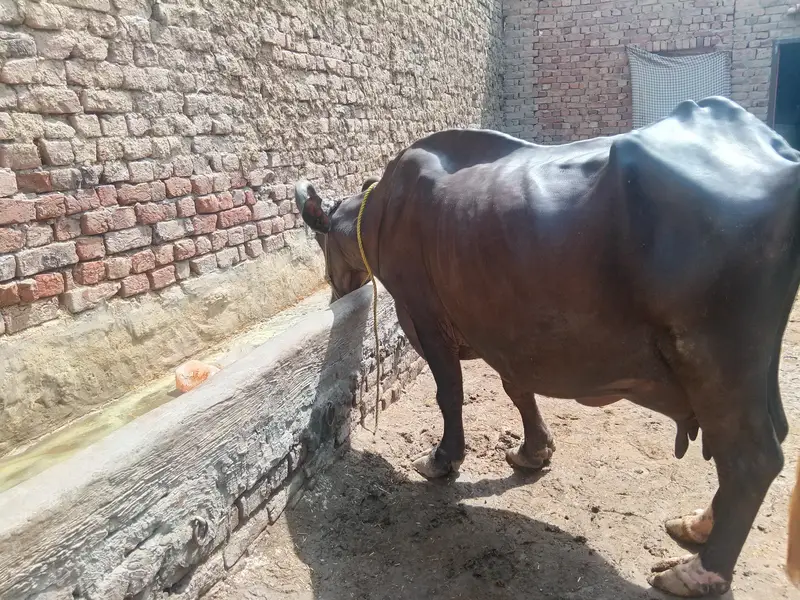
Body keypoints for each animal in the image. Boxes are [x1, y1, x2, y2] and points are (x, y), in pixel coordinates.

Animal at [294, 96, 800, 597]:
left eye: (321, 240)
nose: (335, 291)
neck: (383, 211)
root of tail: (776, 154)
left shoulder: (425, 318)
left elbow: (449, 395)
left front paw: (442, 460)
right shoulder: (506, 329)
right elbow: (517, 389)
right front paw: (533, 452)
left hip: (716, 356)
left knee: (751, 458)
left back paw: (695, 571)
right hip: (757, 364)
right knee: (771, 434)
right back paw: (697, 525)